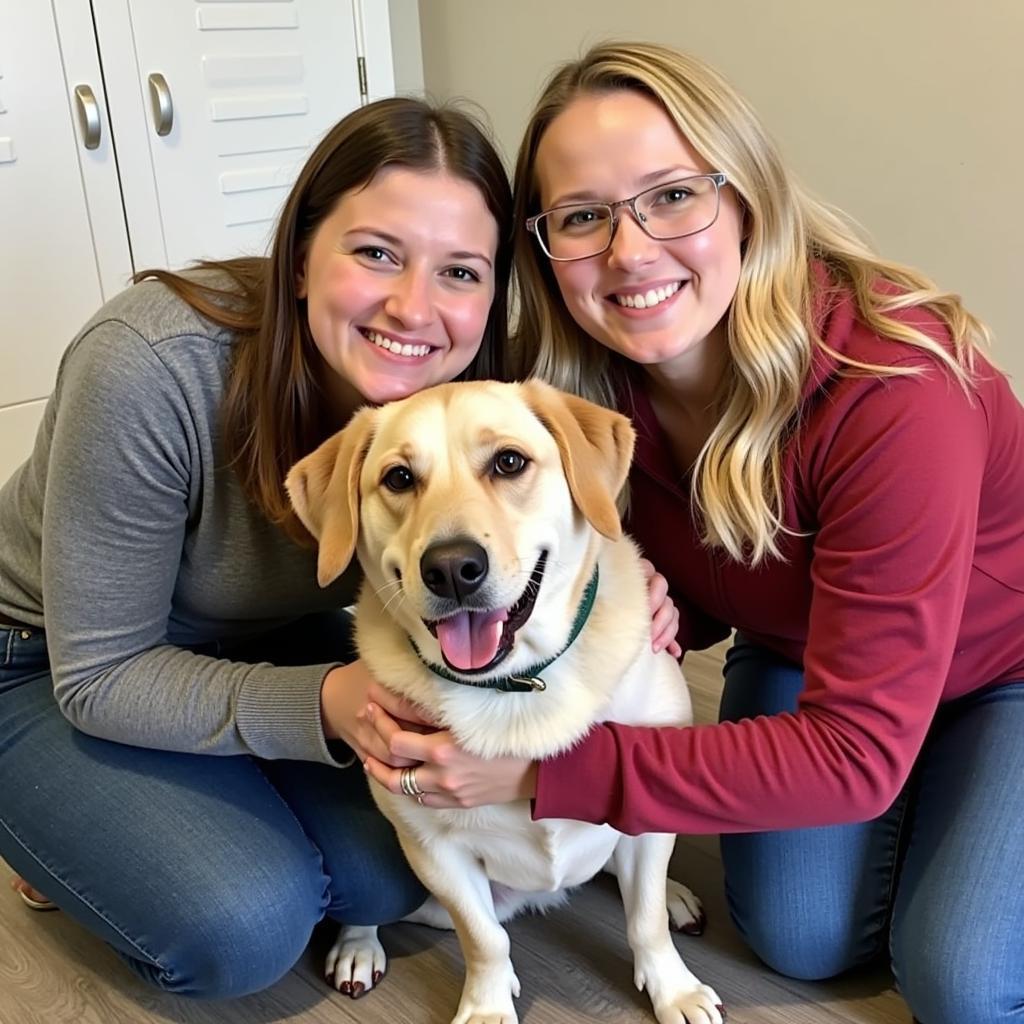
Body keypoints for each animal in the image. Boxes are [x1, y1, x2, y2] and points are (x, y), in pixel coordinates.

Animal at [284, 380, 724, 1024]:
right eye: (398, 478)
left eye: (509, 462)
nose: (451, 569)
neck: (516, 684)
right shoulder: (434, 850)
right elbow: (485, 939)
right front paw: (487, 1007)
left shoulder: (649, 805)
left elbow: (643, 920)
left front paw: (675, 990)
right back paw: (358, 943)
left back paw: (672, 893)